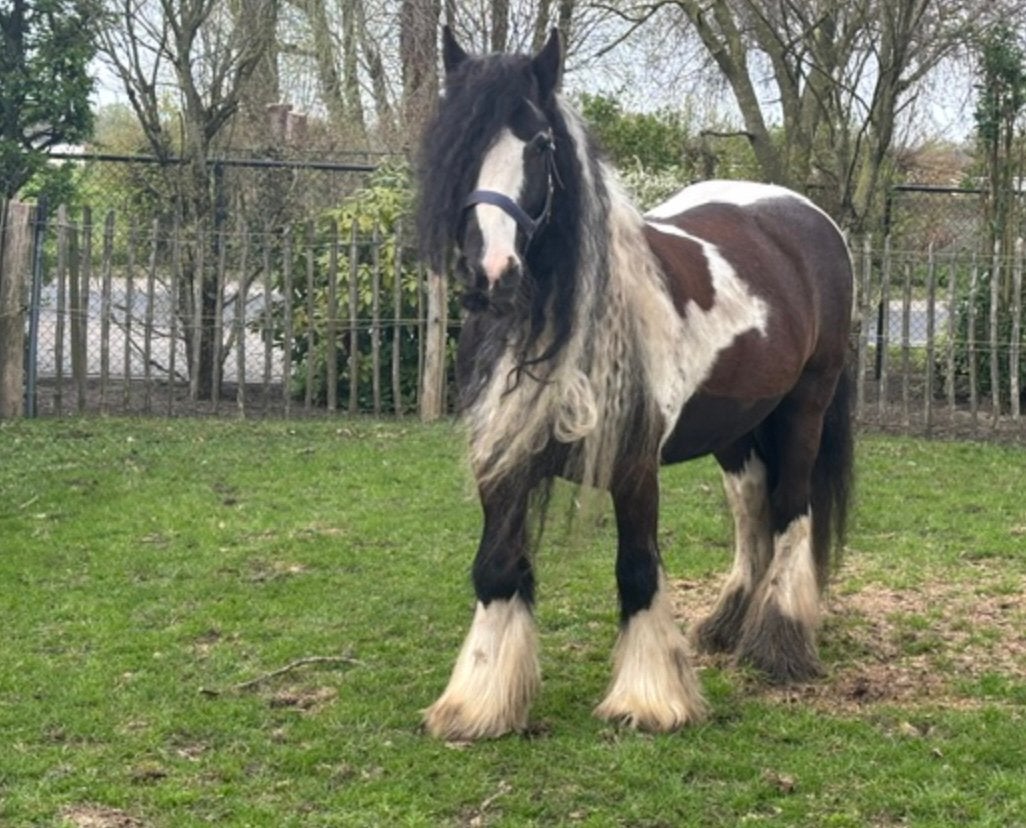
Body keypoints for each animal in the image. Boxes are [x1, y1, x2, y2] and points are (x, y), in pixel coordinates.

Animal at [415, 28, 854, 741]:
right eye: (454, 141)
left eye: (541, 144)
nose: (493, 275)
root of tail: (806, 216)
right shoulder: (502, 462)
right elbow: (496, 568)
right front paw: (479, 701)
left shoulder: (633, 464)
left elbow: (638, 568)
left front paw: (649, 700)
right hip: (735, 425)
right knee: (751, 508)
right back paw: (730, 620)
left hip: (804, 408)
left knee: (791, 510)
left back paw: (779, 638)